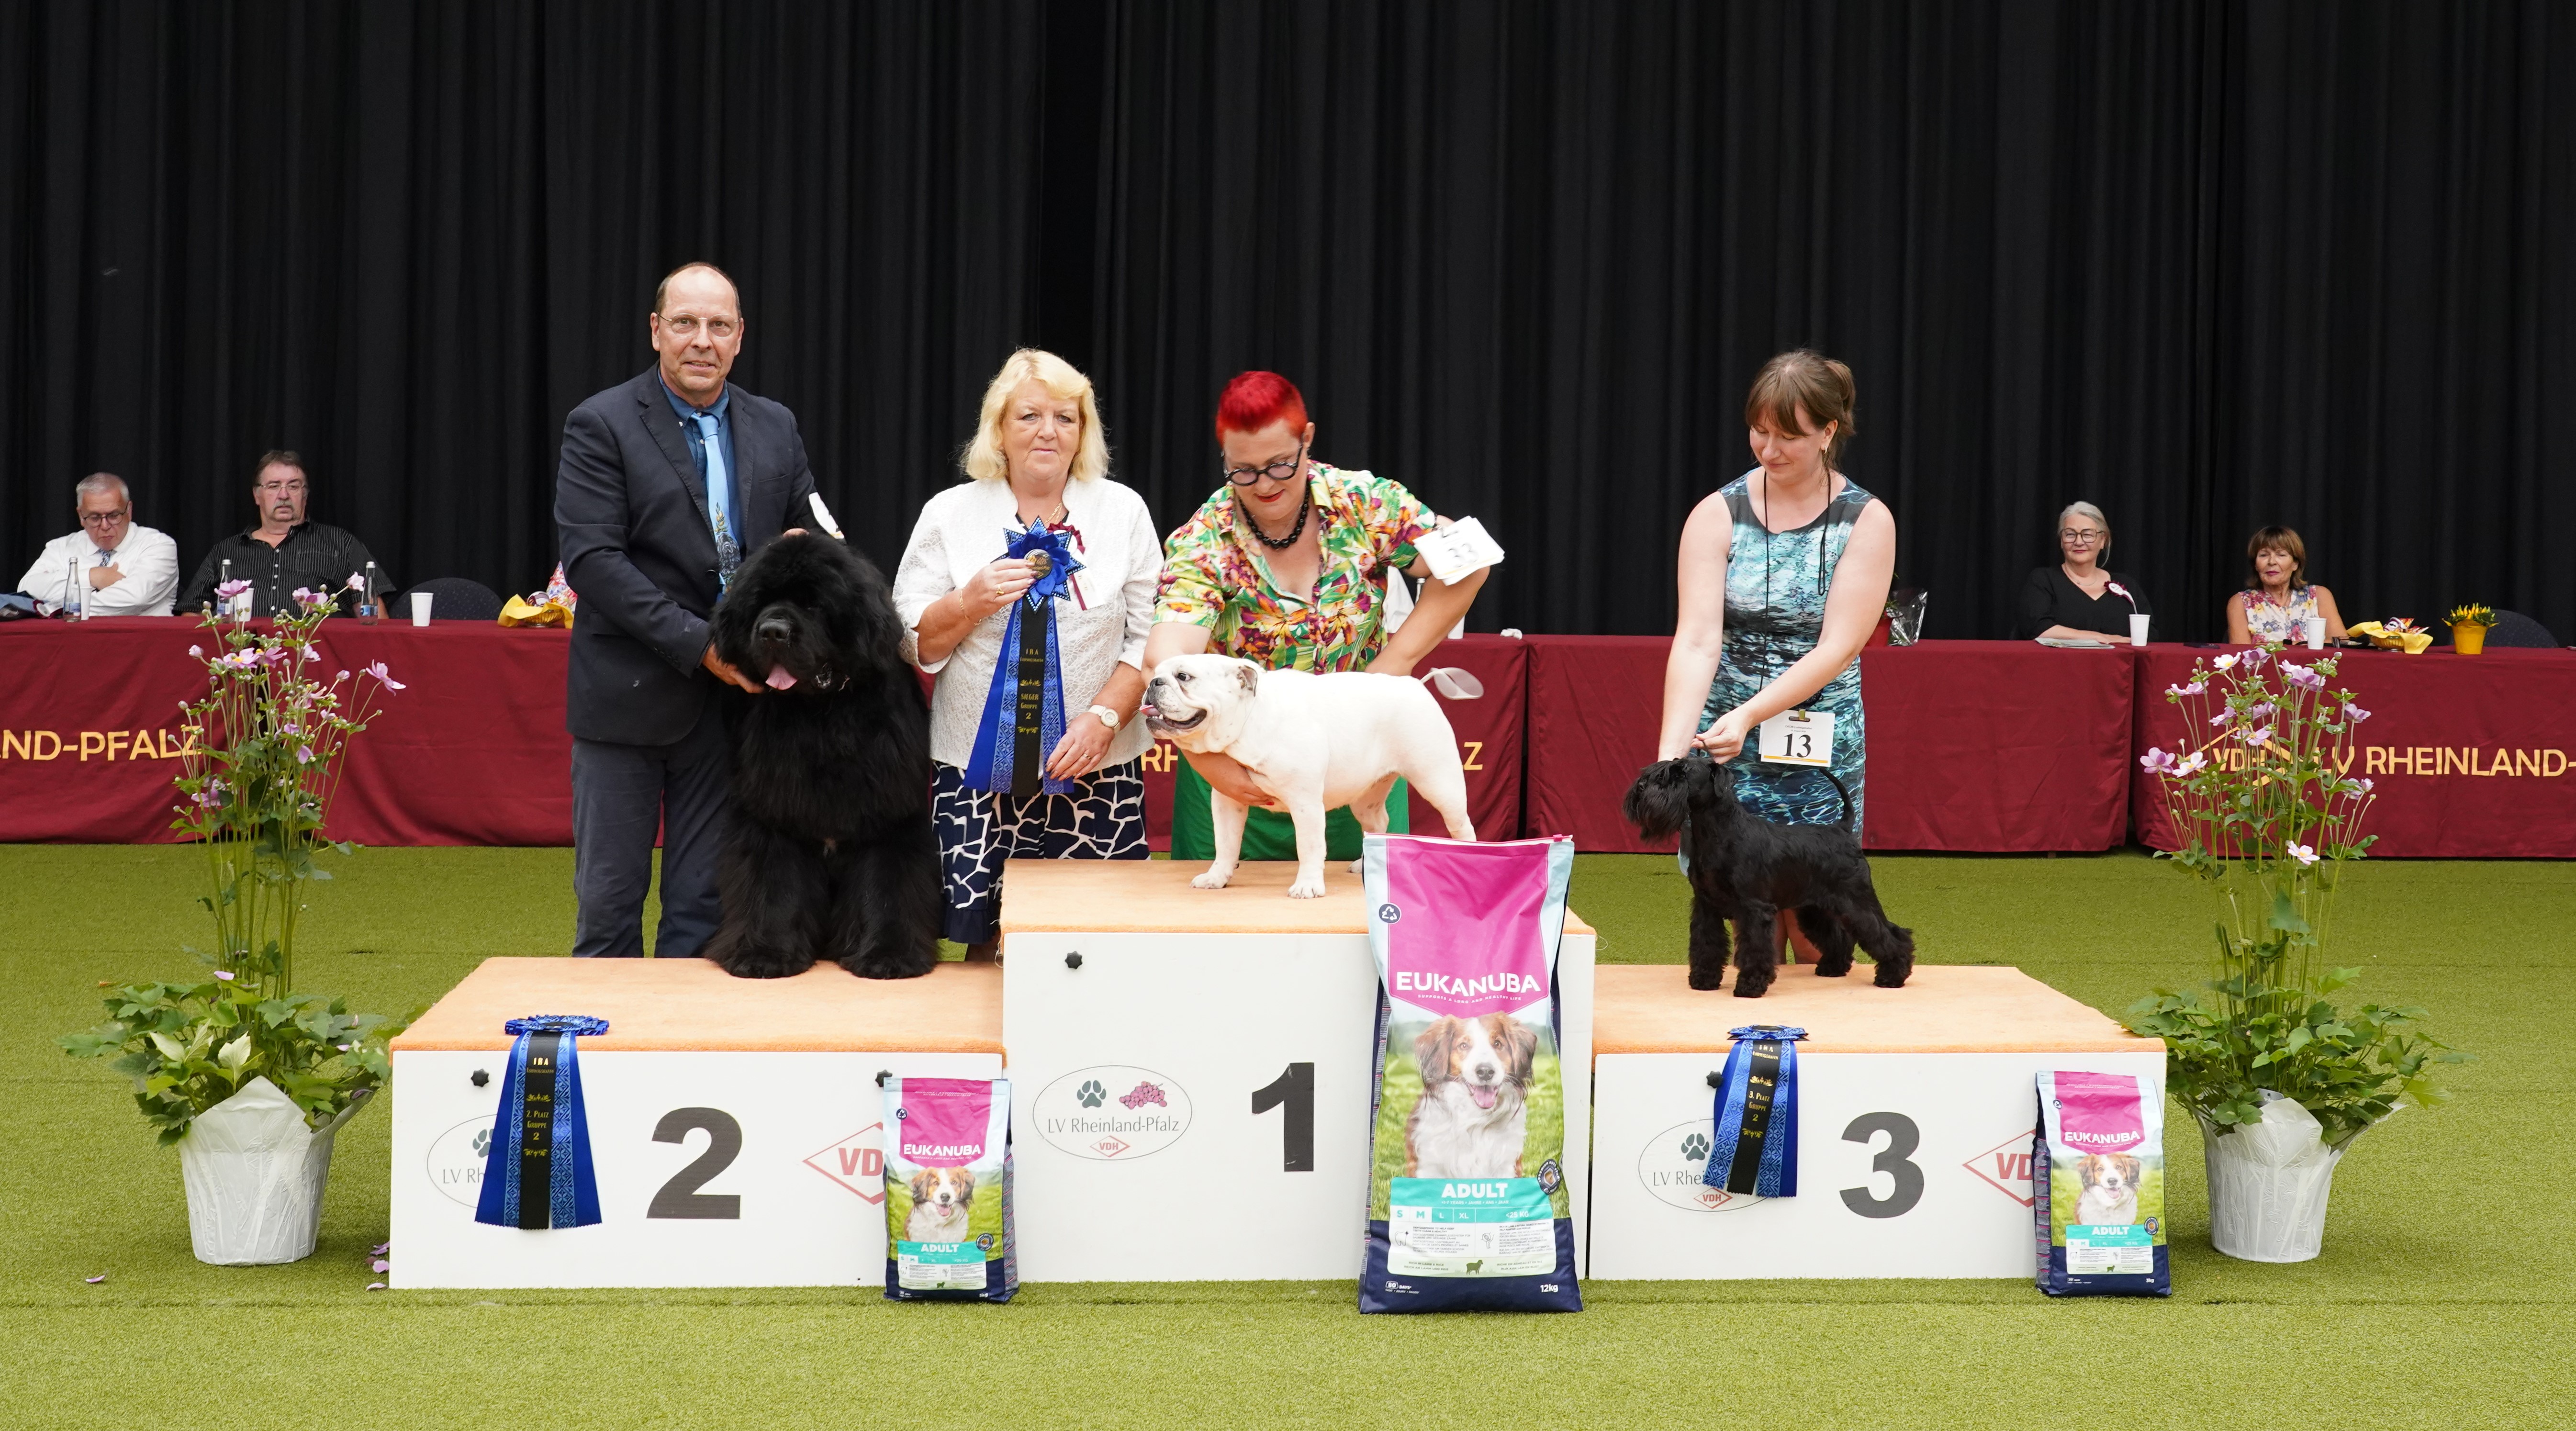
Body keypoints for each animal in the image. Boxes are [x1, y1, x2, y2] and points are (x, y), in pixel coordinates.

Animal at [704, 533, 941, 980]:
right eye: (761, 601)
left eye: (814, 604)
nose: (772, 631)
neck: (823, 715)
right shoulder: (774, 817)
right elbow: (775, 886)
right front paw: (765, 954)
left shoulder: (887, 816)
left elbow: (886, 887)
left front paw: (888, 956)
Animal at [1141, 654, 1474, 898]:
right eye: (1156, 673)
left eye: (1184, 677)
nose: (1154, 682)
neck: (1248, 722)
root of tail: (1416, 684)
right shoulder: (1227, 802)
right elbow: (1225, 843)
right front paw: (1217, 877)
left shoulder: (1306, 804)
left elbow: (1310, 847)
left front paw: (1308, 886)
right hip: (1366, 799)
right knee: (1378, 822)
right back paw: (1366, 863)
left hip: (1439, 782)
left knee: (1461, 824)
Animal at [1403, 1013, 1537, 1178]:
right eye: (1464, 1046)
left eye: (1498, 1044)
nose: (1485, 1072)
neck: (1475, 1119)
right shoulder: (1429, 1166)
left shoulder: (1507, 1165)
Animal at [1622, 755, 1915, 998]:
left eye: (1683, 773)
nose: (1641, 787)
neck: (1717, 833)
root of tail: (1842, 830)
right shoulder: (1706, 907)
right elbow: (1706, 945)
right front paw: (1704, 980)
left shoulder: (1755, 909)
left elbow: (1755, 949)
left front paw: (1750, 986)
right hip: (1814, 909)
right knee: (1839, 936)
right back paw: (1833, 967)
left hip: (1857, 901)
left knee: (1890, 934)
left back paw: (1893, 976)